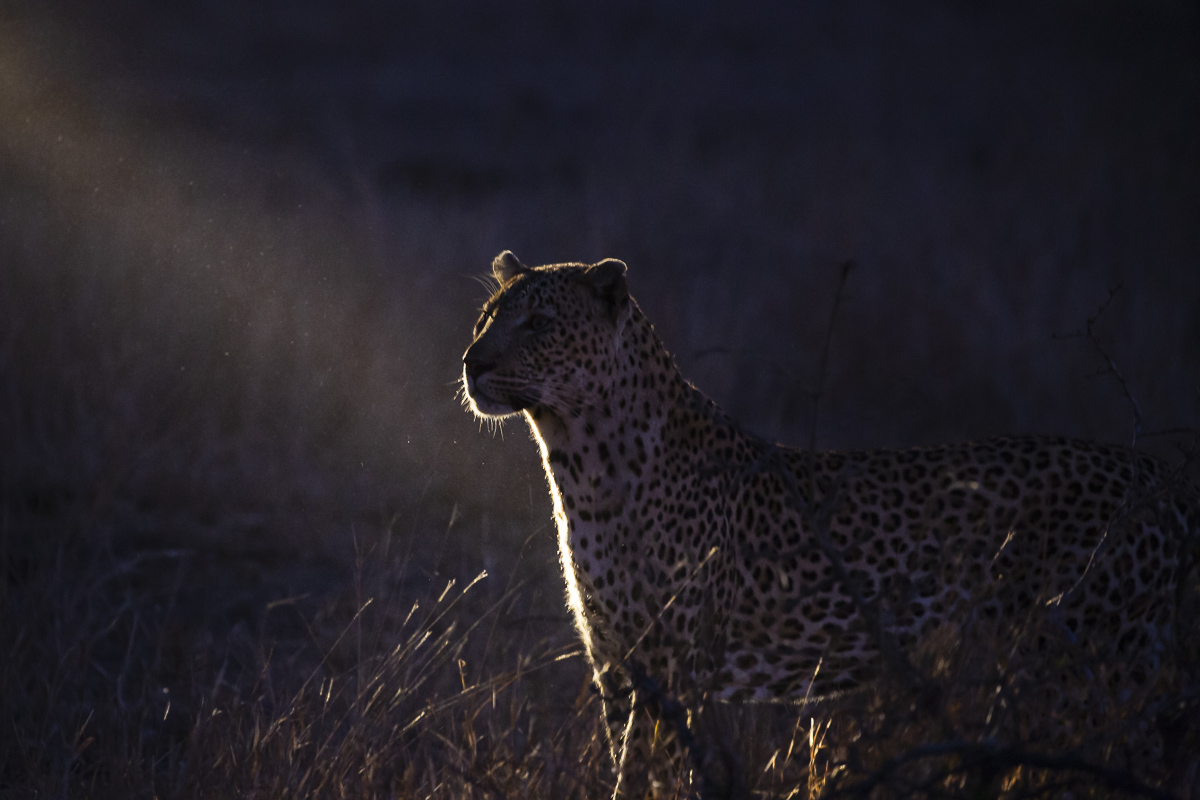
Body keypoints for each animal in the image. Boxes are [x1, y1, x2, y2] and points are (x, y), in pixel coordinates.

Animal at [461, 251, 1199, 798]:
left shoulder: (674, 665)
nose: (472, 362)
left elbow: (652, 774)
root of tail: (1158, 474)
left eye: (538, 323)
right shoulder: (616, 659)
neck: (580, 464)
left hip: (1101, 666)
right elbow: (631, 766)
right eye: (487, 318)